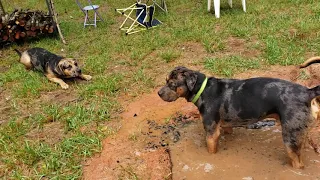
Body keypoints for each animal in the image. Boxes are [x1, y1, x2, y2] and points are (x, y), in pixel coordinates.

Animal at [158, 63, 320, 169]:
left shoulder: (211, 133)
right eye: (165, 81)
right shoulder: (226, 125)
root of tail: (307, 92)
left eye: (172, 84)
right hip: (299, 131)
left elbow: (211, 151)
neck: (202, 89)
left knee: (298, 163)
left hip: (290, 138)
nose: (158, 93)